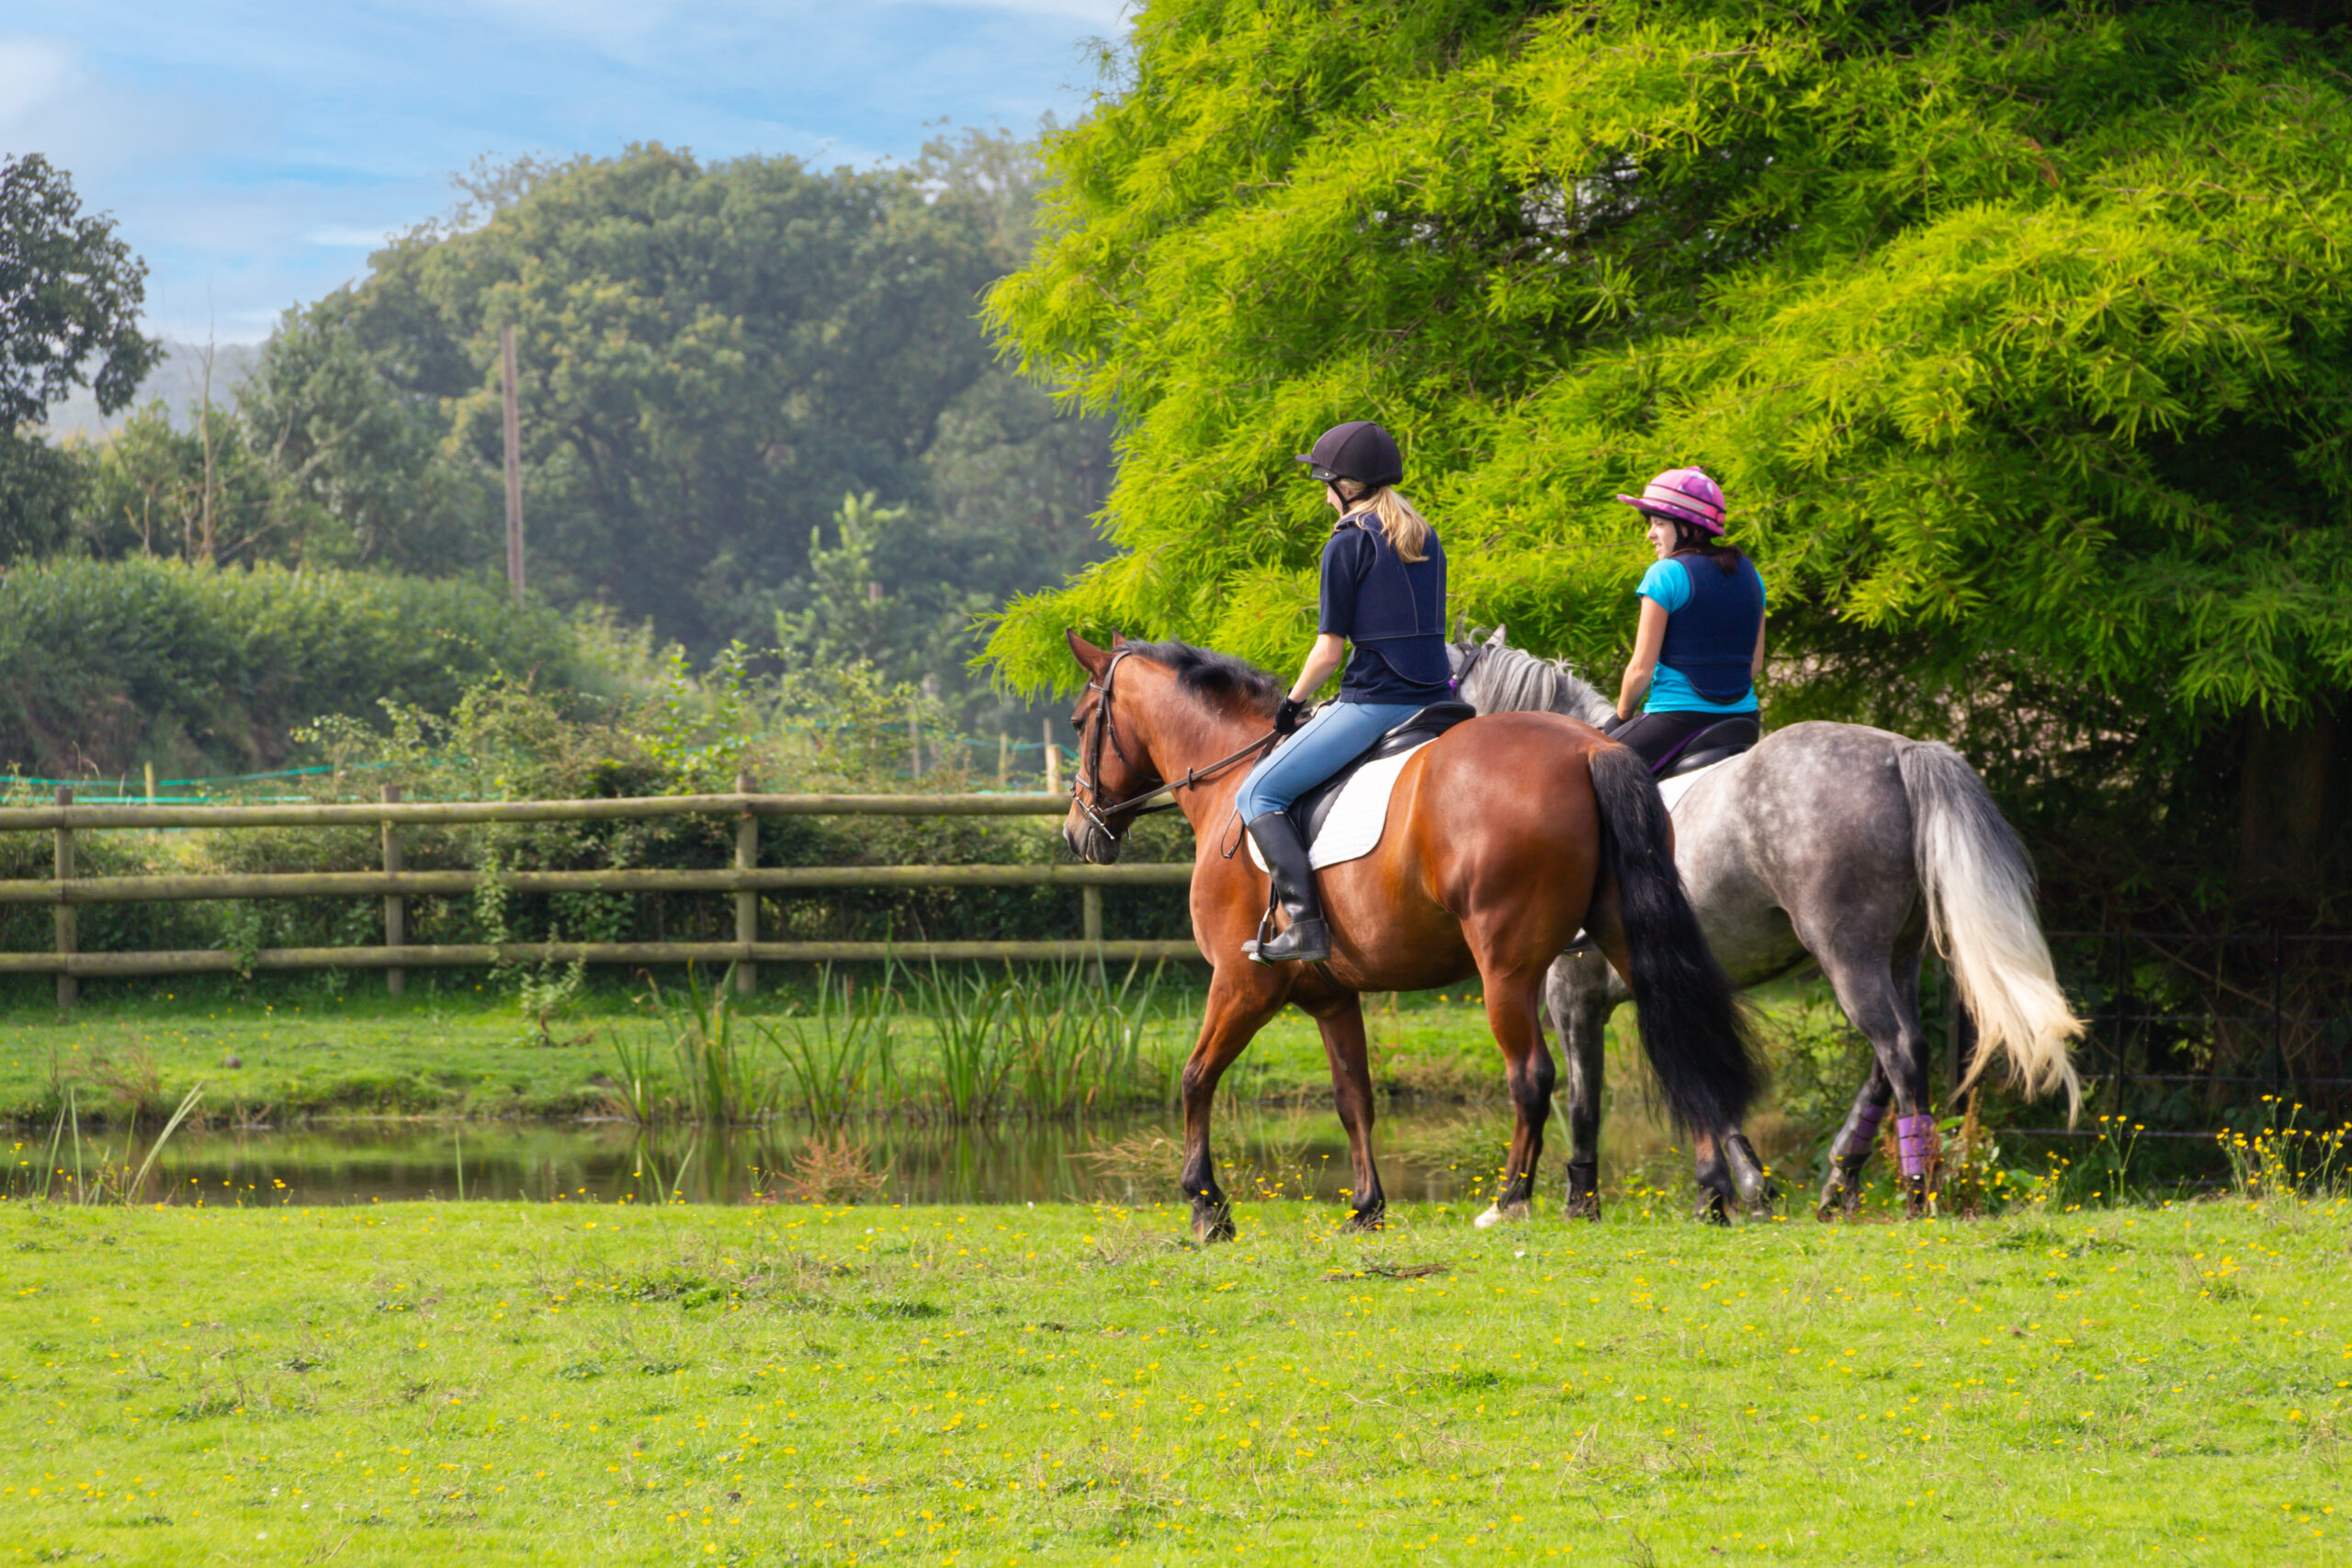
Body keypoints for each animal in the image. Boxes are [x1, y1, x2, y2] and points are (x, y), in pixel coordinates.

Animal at [1059, 630, 1770, 1240]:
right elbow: (1354, 1098)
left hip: (1506, 968)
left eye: (1078, 722)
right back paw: (1712, 1192)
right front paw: (1366, 1208)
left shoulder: (1242, 984)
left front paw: (1207, 1206)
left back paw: (1510, 1200)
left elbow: (1195, 1077)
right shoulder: (1331, 996)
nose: (1076, 833)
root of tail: (1589, 749)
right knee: (1676, 1032)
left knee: (1532, 1074)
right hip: (1623, 938)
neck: (1230, 778)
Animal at [1447, 627, 2085, 1219]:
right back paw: (1842, 1179)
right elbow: (1706, 1083)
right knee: (1893, 1058)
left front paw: (1583, 1202)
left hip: (1847, 954)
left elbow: (1586, 1103)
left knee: (1898, 1047)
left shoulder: (1574, 998)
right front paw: (1739, 1189)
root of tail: (1900, 752)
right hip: (1899, 954)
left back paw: (1914, 1190)